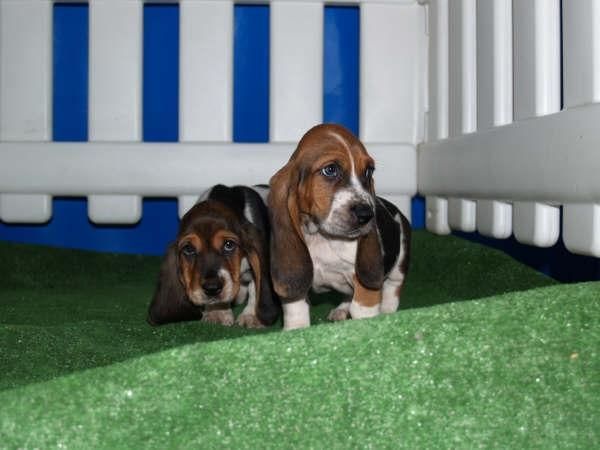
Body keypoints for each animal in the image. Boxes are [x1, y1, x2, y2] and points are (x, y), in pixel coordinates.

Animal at [150, 185, 282, 328]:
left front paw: (252, 316)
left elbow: (255, 287)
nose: (212, 288)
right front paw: (217, 312)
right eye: (188, 249)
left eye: (229, 244)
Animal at [270, 123, 410, 330]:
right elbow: (296, 310)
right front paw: (296, 329)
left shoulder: (364, 283)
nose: (366, 214)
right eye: (330, 169)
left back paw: (387, 312)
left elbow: (362, 308)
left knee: (393, 288)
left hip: (399, 263)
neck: (322, 238)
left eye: (369, 171)